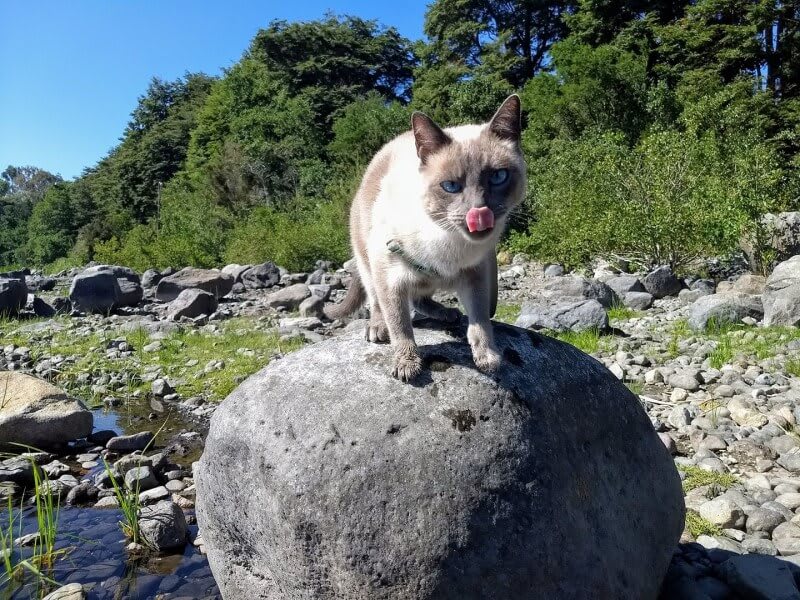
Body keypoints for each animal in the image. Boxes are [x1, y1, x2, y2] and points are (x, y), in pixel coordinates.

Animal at [324, 96, 524, 382]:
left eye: (498, 176)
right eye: (450, 186)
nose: (479, 212)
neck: (450, 245)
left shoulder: (476, 273)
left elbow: (480, 321)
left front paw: (488, 358)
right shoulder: (389, 277)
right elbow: (400, 325)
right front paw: (407, 365)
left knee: (421, 298)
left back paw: (448, 313)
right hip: (367, 261)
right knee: (376, 301)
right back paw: (378, 328)